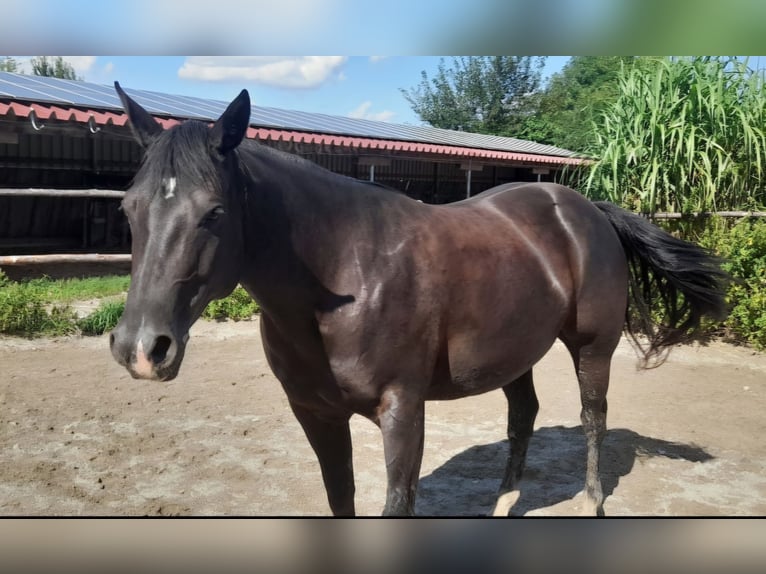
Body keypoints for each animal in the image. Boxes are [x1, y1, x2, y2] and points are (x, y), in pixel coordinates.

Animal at [109, 83, 729, 516]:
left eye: (214, 212)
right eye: (128, 207)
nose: (140, 349)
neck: (344, 277)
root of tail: (586, 208)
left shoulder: (403, 412)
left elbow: (396, 504)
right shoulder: (315, 414)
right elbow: (341, 500)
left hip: (593, 348)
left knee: (594, 418)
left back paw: (591, 502)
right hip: (515, 352)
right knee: (523, 416)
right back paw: (505, 501)